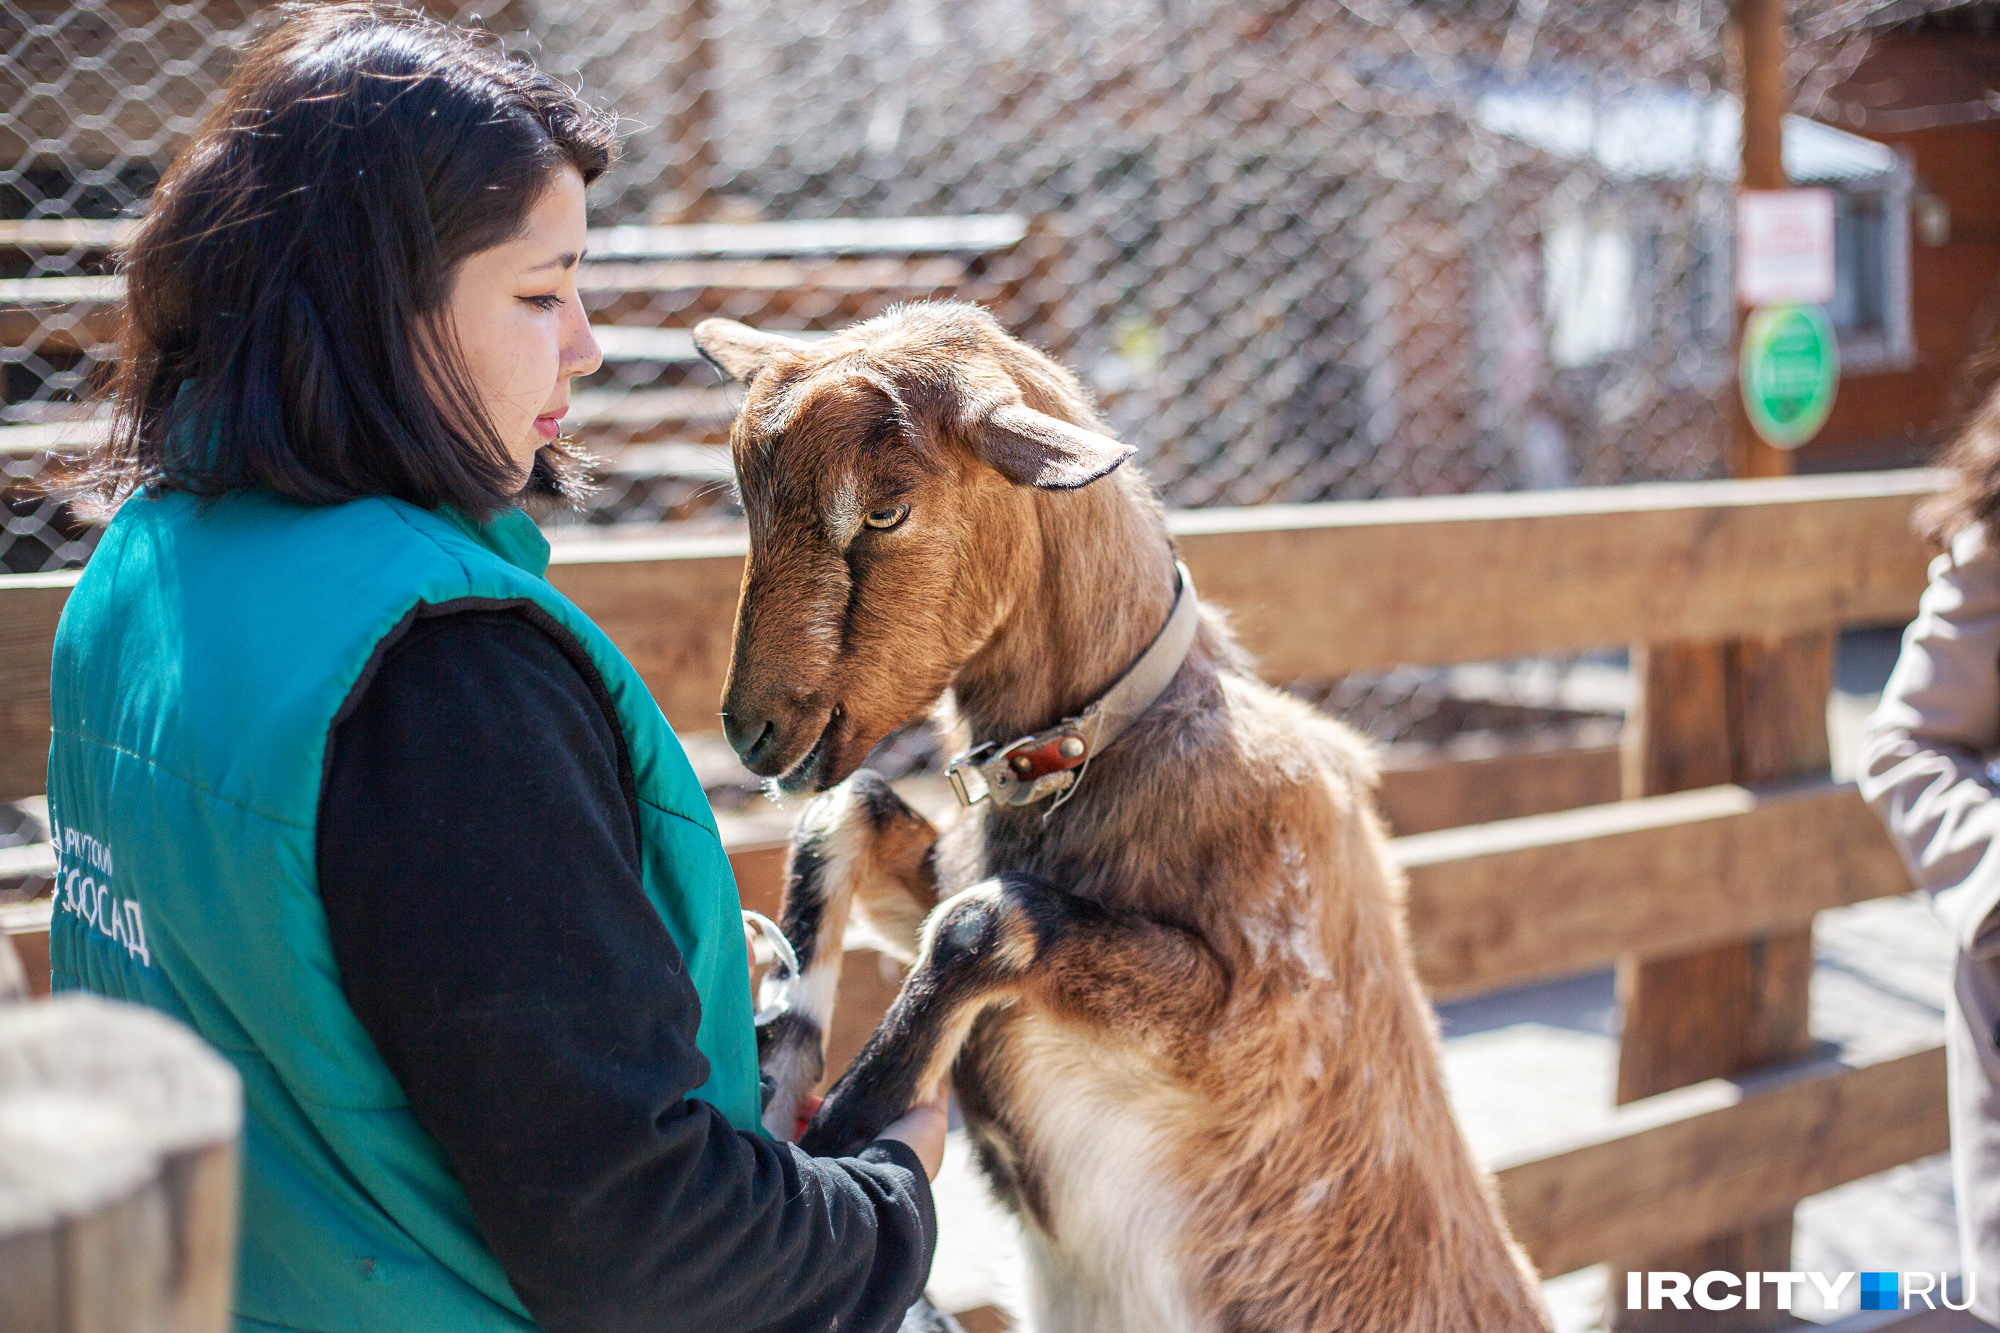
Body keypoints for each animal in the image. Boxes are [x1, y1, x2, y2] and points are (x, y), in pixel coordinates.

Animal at [696, 300, 1552, 1328]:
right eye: (745, 499)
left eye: (886, 508)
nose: (753, 733)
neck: (1105, 745)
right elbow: (848, 813)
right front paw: (780, 1054)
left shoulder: (1250, 1027)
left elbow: (987, 916)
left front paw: (842, 1132)